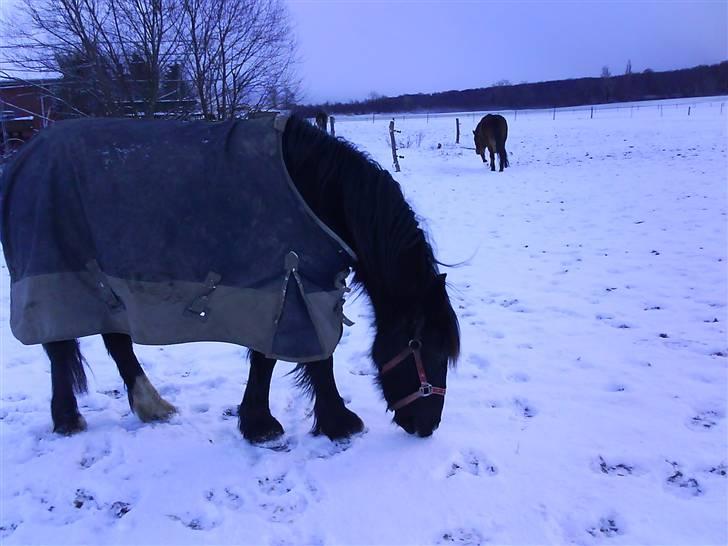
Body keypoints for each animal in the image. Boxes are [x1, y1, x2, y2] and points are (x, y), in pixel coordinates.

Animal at [0, 115, 460, 441]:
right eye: (426, 349)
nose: (427, 426)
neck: (317, 194)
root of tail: (23, 158)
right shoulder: (292, 283)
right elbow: (303, 358)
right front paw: (323, 423)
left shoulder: (288, 286)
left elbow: (272, 358)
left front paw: (263, 420)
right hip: (50, 276)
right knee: (60, 348)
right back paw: (68, 418)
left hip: (103, 286)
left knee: (114, 341)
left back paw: (151, 406)